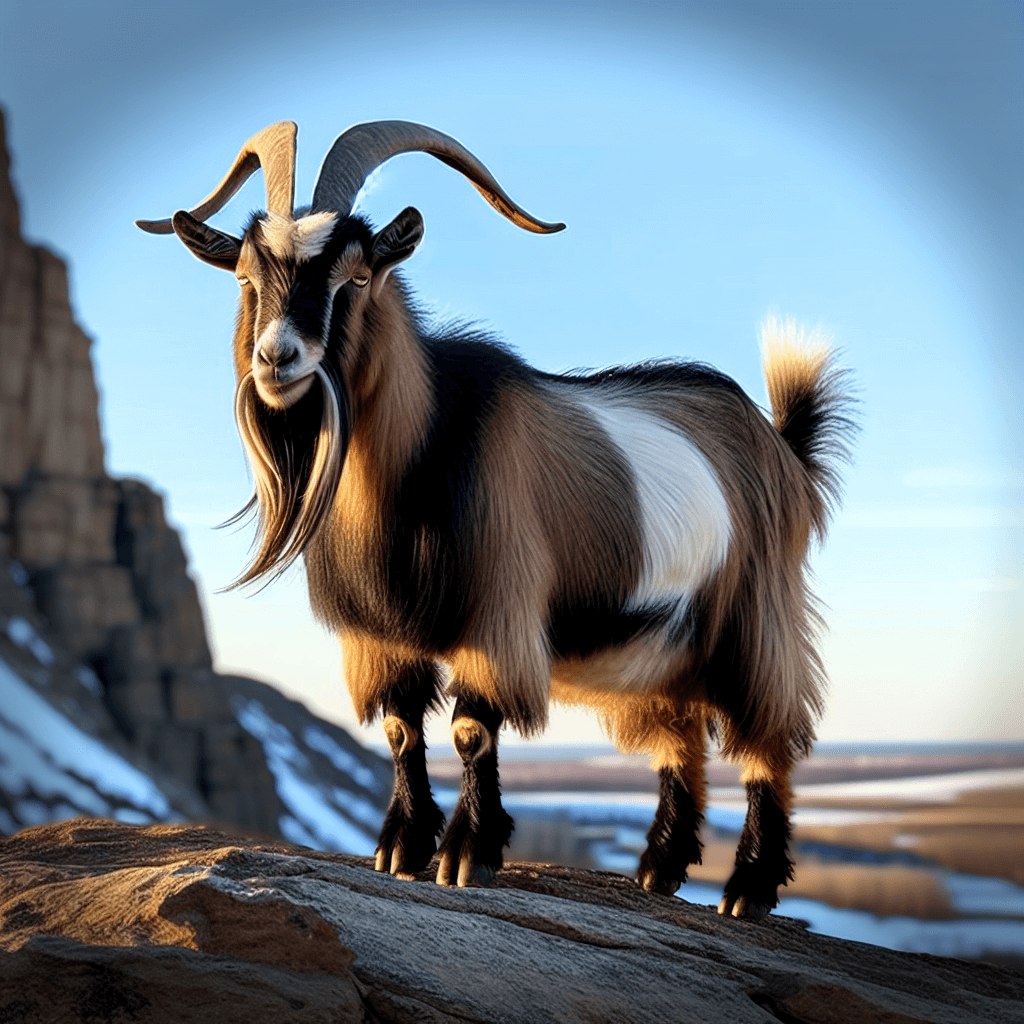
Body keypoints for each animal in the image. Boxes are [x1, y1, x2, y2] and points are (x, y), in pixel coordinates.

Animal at [137, 120, 855, 918]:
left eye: (356, 277)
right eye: (244, 278)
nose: (277, 359)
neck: (423, 450)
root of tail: (782, 450)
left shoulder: (497, 609)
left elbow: (471, 730)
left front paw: (466, 854)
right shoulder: (378, 633)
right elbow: (401, 729)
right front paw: (400, 849)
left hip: (755, 616)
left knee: (768, 736)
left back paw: (747, 889)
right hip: (657, 645)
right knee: (681, 739)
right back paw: (659, 869)